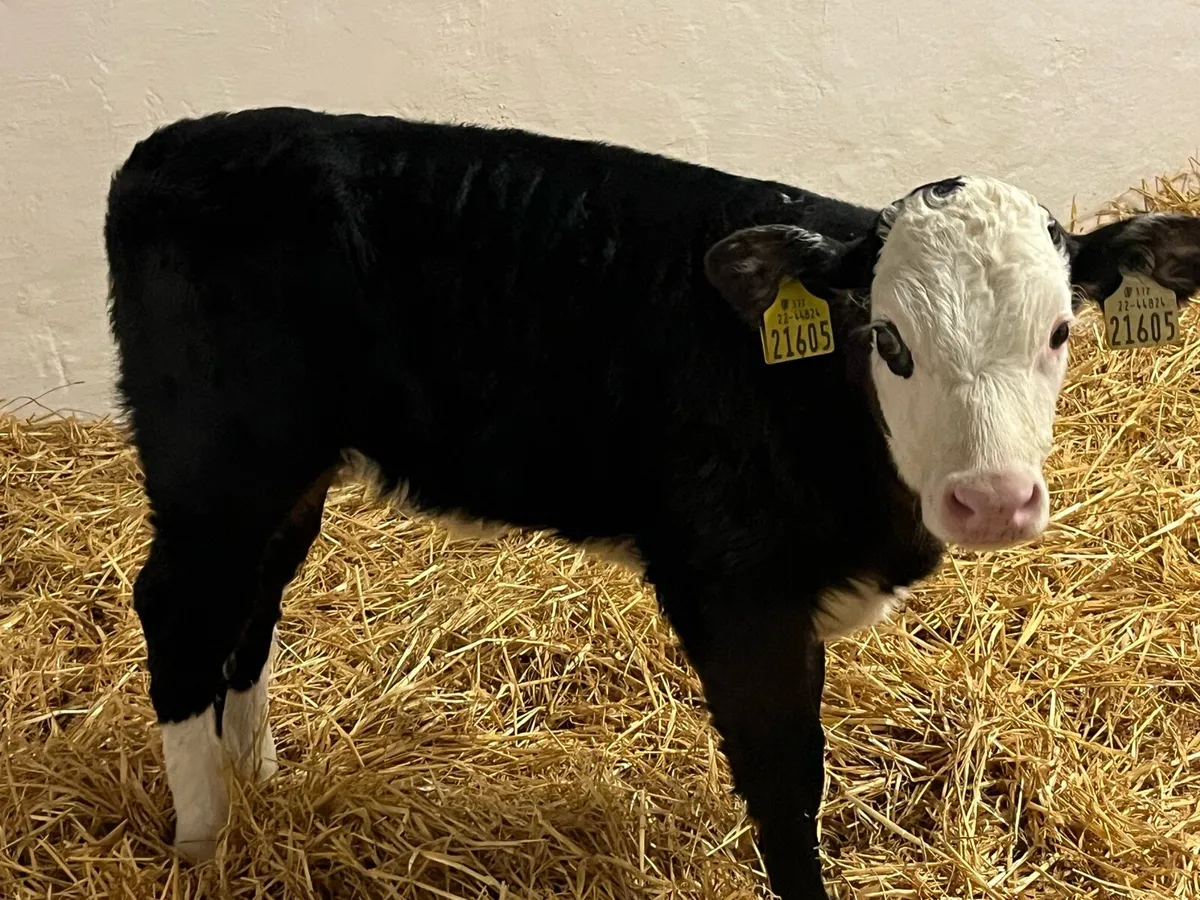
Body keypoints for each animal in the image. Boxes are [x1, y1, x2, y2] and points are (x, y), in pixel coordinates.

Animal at [103, 107, 1200, 899]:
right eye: (888, 339)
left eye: (1061, 332)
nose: (992, 500)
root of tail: (171, 147)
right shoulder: (732, 589)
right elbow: (786, 785)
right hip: (215, 462)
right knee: (181, 609)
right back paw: (204, 839)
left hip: (286, 476)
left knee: (253, 604)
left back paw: (261, 786)